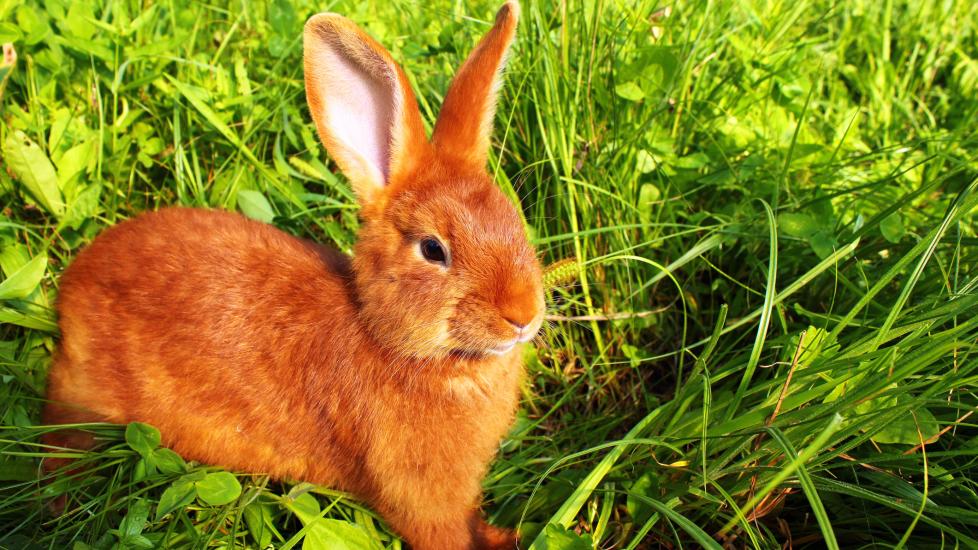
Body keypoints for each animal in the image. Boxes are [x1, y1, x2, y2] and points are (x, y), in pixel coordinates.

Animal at [40, 2, 540, 548]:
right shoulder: (420, 499)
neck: (390, 341)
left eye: (514, 219)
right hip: (84, 397)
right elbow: (441, 531)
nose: (524, 314)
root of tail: (77, 279)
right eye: (433, 249)